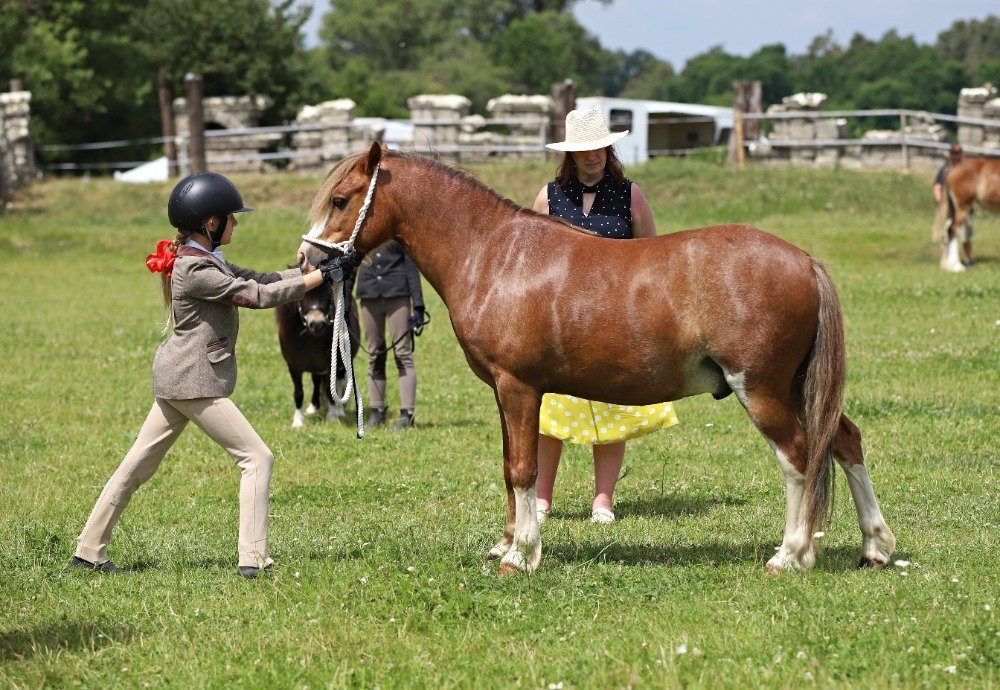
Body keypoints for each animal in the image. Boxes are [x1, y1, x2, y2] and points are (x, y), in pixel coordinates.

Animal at [276, 280, 362, 424]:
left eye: (327, 292)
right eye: (302, 294)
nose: (317, 324)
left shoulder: (330, 365)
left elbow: (329, 389)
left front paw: (332, 417)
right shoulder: (293, 366)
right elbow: (298, 391)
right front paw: (298, 420)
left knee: (339, 383)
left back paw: (339, 411)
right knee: (316, 381)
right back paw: (313, 407)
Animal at [298, 144, 900, 576]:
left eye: (341, 199)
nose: (306, 262)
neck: (495, 254)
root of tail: (805, 261)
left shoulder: (518, 387)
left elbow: (522, 469)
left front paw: (520, 557)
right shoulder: (505, 392)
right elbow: (509, 467)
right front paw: (505, 544)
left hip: (764, 389)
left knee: (798, 456)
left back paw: (790, 555)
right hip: (798, 385)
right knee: (844, 441)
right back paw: (874, 548)